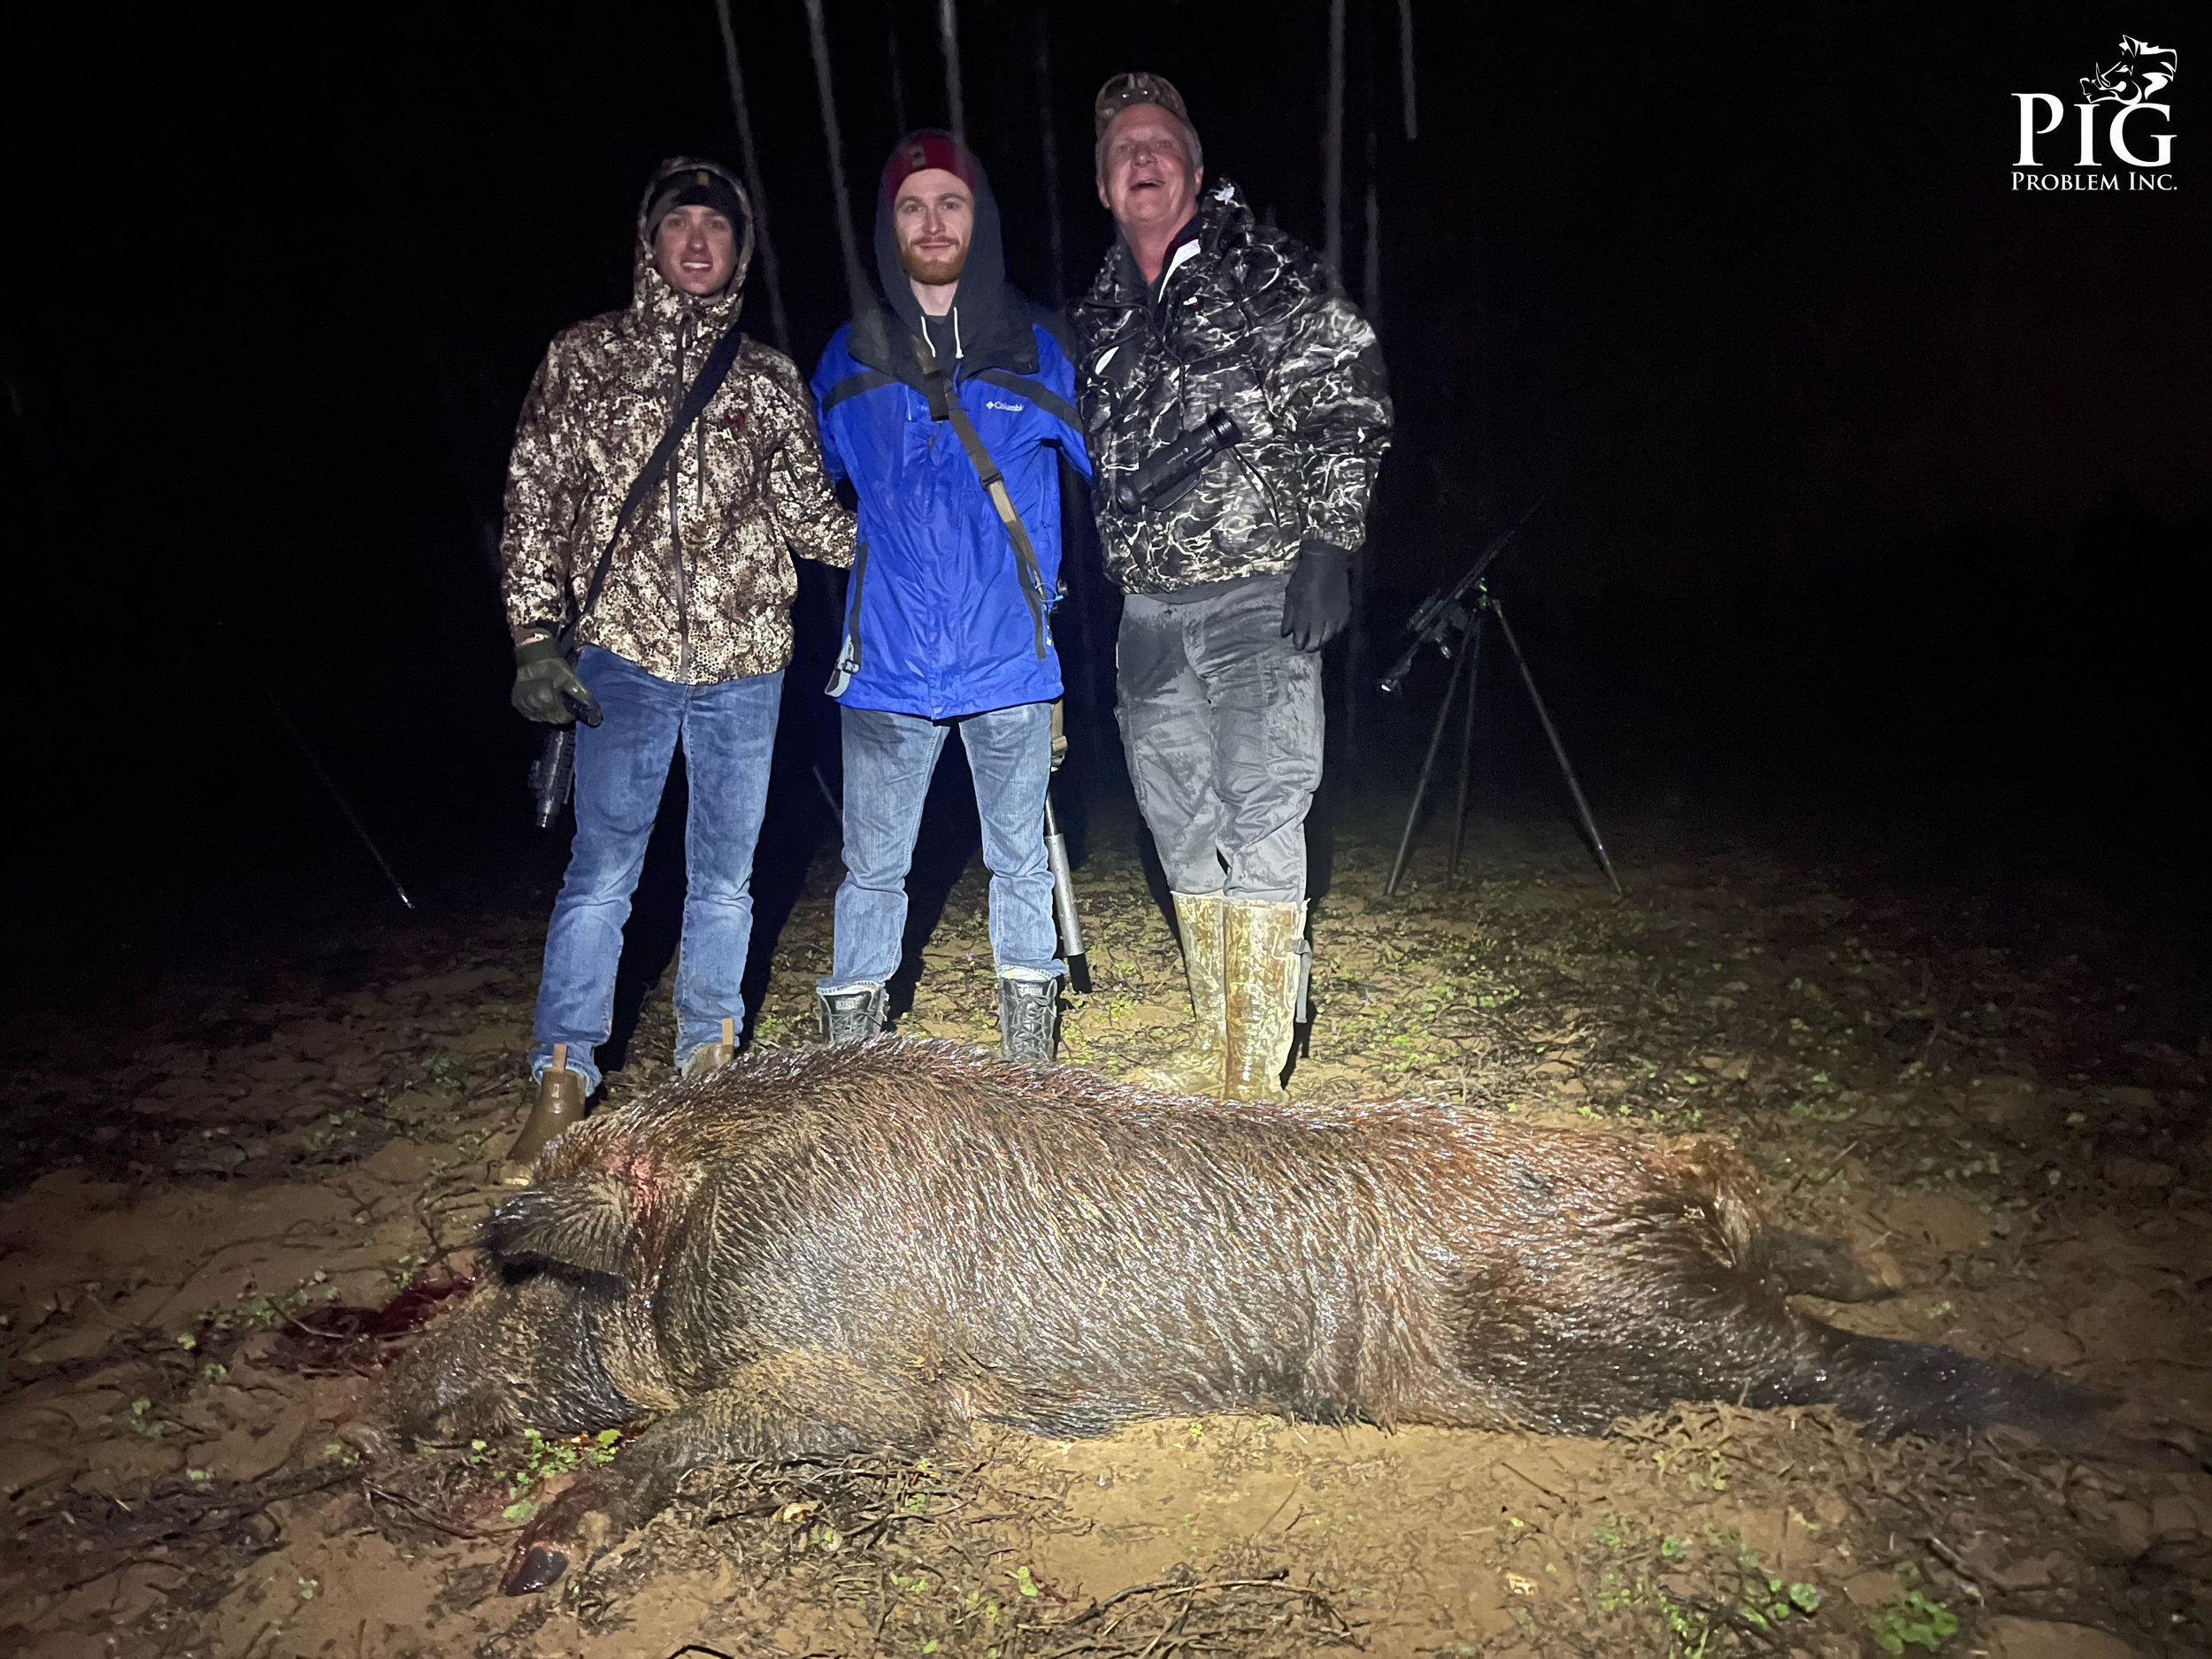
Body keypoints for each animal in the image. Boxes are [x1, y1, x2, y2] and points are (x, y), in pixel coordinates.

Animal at [374, 1039, 2122, 1595]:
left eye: (519, 1270)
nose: (392, 1402)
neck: (703, 1221)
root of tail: (1664, 1171)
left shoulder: (872, 1389)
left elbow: (683, 1431)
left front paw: (528, 1563)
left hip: (1627, 1324)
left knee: (1846, 1360)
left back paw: (2109, 1420)